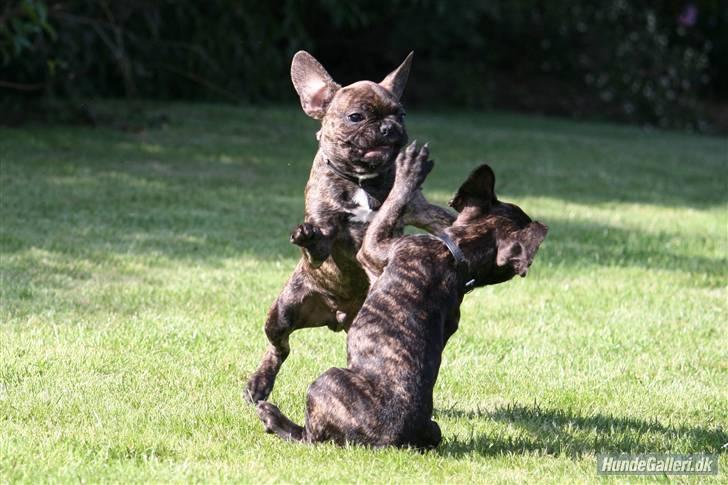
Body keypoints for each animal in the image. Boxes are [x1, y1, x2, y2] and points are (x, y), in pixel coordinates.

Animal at [250, 51, 456, 402]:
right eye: (356, 117)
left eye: (401, 113)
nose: (388, 127)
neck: (361, 180)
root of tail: (336, 316)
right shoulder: (325, 236)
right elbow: (319, 242)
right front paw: (306, 236)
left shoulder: (419, 209)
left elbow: (441, 218)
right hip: (282, 313)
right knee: (280, 348)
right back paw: (259, 382)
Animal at [256, 142, 544, 448]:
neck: (459, 253)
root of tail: (391, 440)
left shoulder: (373, 248)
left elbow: (391, 206)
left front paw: (409, 172)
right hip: (433, 427)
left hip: (328, 380)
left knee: (310, 437)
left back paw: (272, 416)